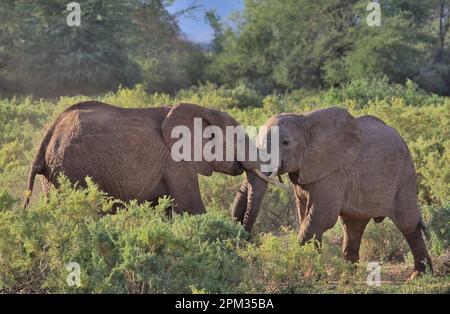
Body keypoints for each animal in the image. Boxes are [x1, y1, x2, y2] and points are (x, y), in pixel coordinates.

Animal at [24, 102, 274, 215]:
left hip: (55, 172)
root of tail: (51, 131)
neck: (203, 111)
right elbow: (193, 208)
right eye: (238, 139)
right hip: (72, 168)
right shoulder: (176, 164)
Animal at [232, 106, 432, 274]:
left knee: (407, 223)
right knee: (353, 225)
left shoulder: (333, 173)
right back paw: (348, 273)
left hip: (404, 174)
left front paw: (306, 270)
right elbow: (306, 216)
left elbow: (321, 218)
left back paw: (420, 275)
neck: (304, 121)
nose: (243, 239)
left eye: (286, 142)